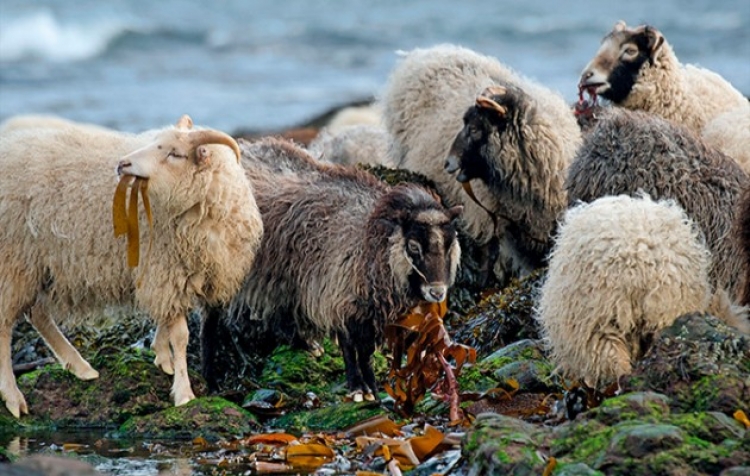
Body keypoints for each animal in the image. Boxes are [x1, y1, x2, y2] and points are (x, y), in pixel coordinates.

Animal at [0, 114, 264, 416]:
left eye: (175, 153)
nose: (122, 164)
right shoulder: (165, 269)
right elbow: (181, 336)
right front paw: (184, 392)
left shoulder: (176, 272)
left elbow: (167, 321)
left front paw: (162, 356)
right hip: (13, 260)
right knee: (5, 325)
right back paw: (13, 396)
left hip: (39, 264)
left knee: (38, 314)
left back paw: (80, 368)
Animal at [206, 136, 464, 400]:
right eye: (413, 246)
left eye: (450, 243)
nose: (437, 292)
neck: (369, 239)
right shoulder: (337, 297)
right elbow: (350, 349)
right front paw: (358, 388)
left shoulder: (365, 309)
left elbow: (366, 353)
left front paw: (371, 389)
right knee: (211, 320)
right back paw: (212, 380)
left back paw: (306, 344)